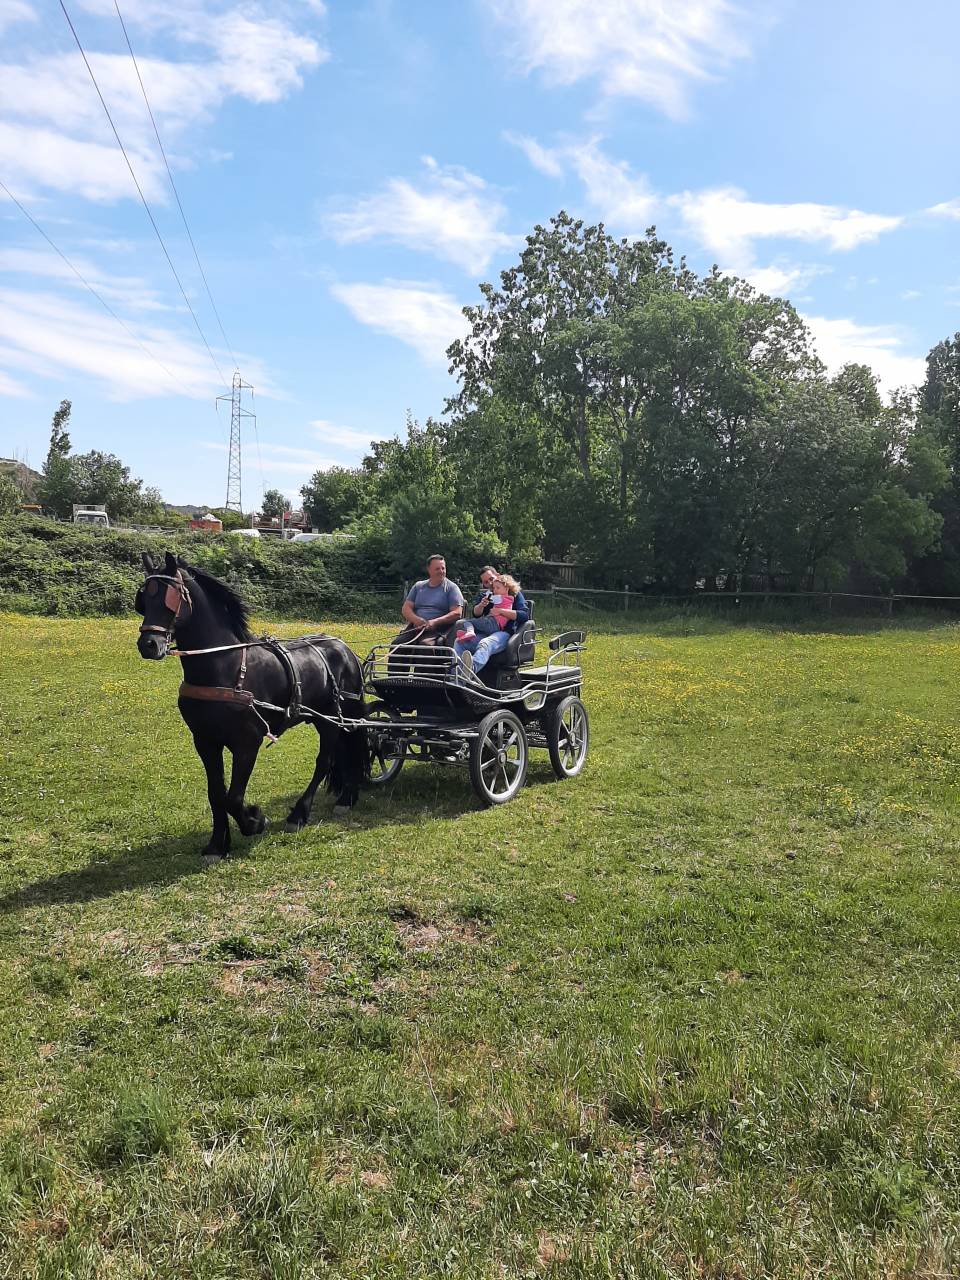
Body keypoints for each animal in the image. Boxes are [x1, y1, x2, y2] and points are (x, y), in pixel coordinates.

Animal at [135, 551, 369, 857]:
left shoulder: (248, 742)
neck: (226, 667)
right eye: (143, 599)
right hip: (327, 718)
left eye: (169, 597)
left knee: (325, 760)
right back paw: (345, 797)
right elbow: (216, 794)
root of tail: (343, 647)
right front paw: (216, 845)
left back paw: (301, 814)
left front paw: (255, 821)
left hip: (331, 717)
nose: (148, 644)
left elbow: (234, 797)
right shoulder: (205, 741)